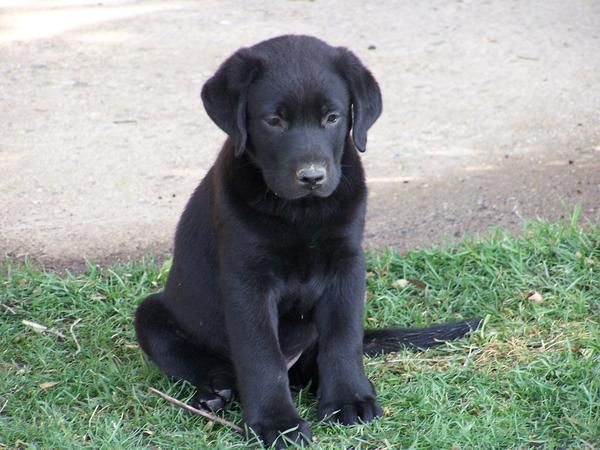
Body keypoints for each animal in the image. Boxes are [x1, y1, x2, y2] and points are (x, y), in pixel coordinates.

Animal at [134, 34, 480, 446]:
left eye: (332, 117)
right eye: (274, 120)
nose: (312, 177)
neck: (301, 212)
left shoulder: (347, 264)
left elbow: (343, 337)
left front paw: (349, 399)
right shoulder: (247, 280)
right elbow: (260, 354)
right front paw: (276, 422)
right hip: (151, 316)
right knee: (213, 363)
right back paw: (216, 393)